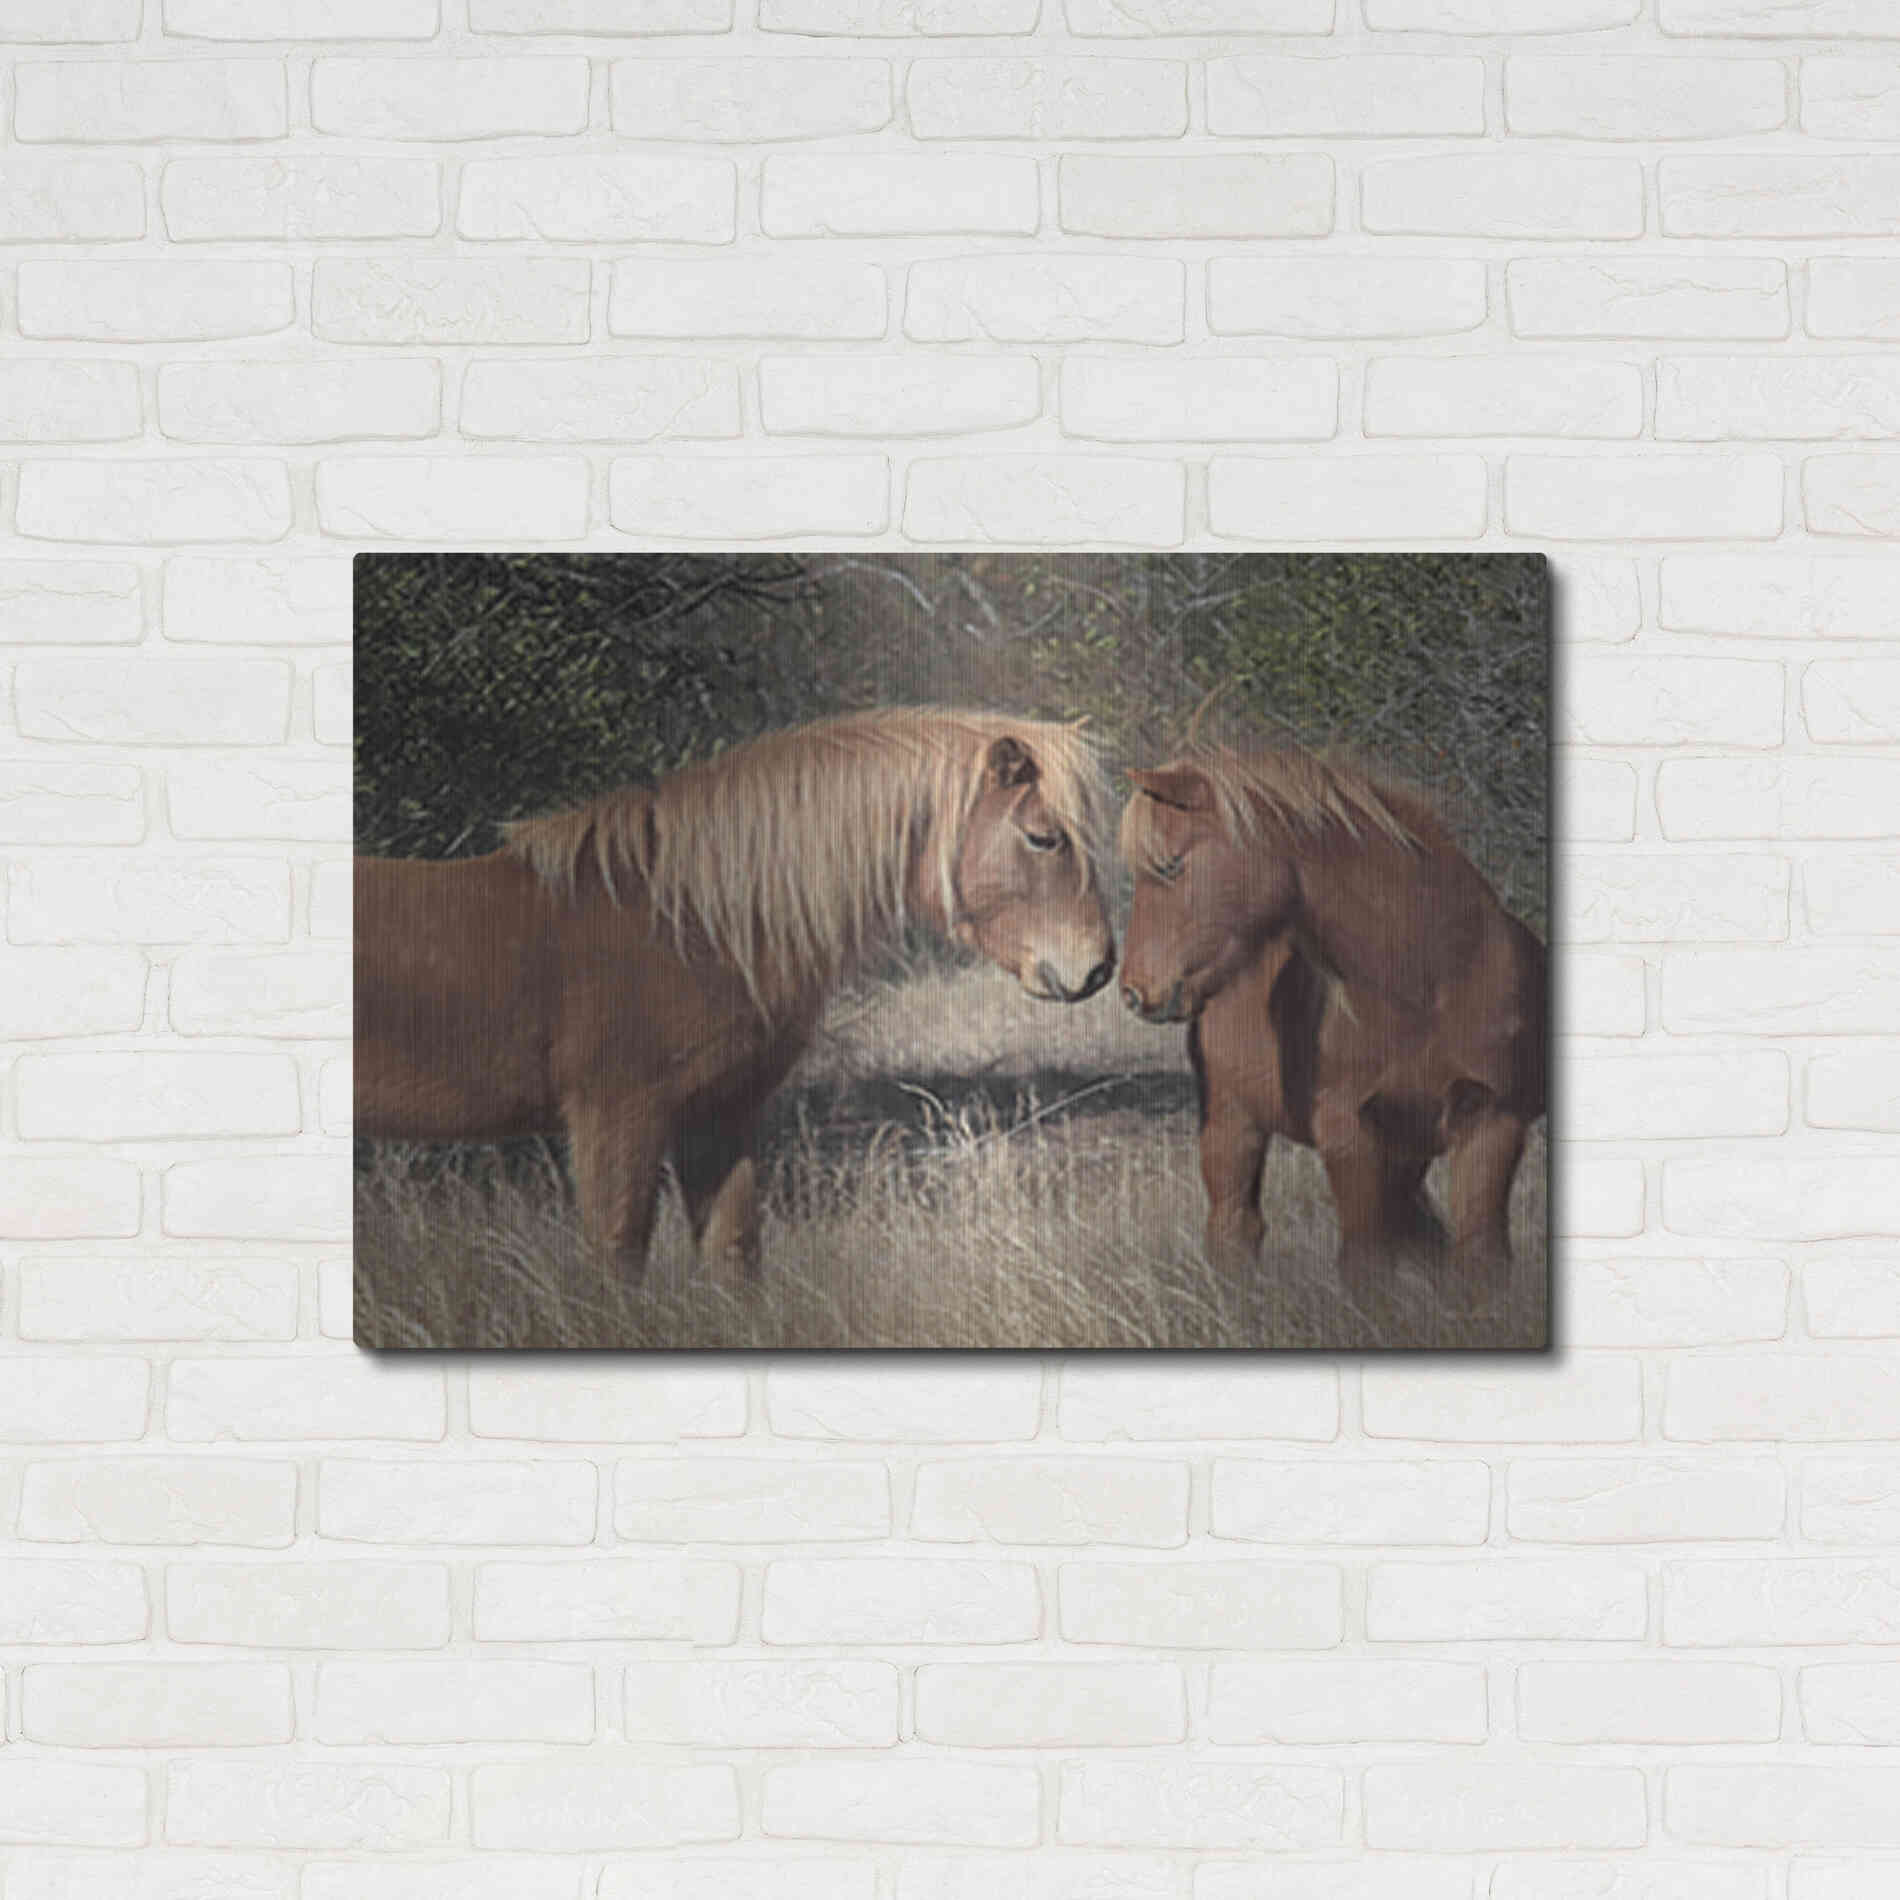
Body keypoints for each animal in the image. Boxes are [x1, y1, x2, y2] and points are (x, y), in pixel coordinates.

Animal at [355, 707, 1116, 1280]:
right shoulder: (616, 1121)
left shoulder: (717, 1118)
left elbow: (735, 1258)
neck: (686, 925)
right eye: (1042, 838)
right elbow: (617, 1263)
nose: (1098, 968)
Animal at [1116, 743, 1545, 1312]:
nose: (1134, 992)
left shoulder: (1493, 1122)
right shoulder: (1347, 1129)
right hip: (1232, 1121)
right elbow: (1366, 1265)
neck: (1434, 979)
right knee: (1234, 1230)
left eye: (1170, 865)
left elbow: (1480, 1261)